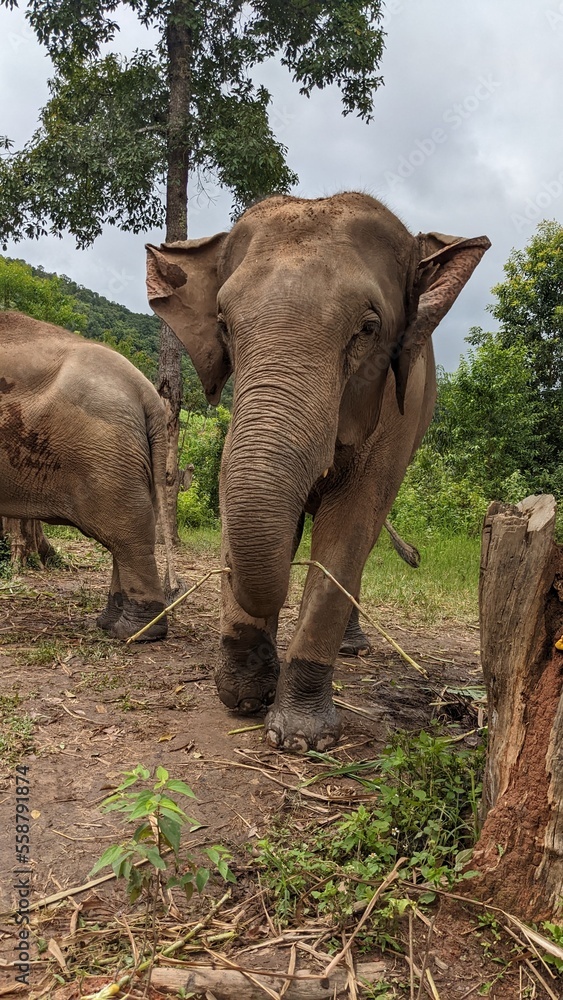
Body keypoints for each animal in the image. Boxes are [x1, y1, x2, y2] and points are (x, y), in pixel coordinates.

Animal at [0, 311, 178, 640]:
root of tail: (147, 392)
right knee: (127, 534)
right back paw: (109, 623)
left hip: (106, 451)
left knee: (127, 534)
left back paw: (134, 632)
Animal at [146, 192, 490, 750]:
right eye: (223, 325)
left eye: (368, 330)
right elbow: (235, 492)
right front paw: (244, 697)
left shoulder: (398, 413)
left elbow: (350, 524)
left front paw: (300, 738)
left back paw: (352, 648)